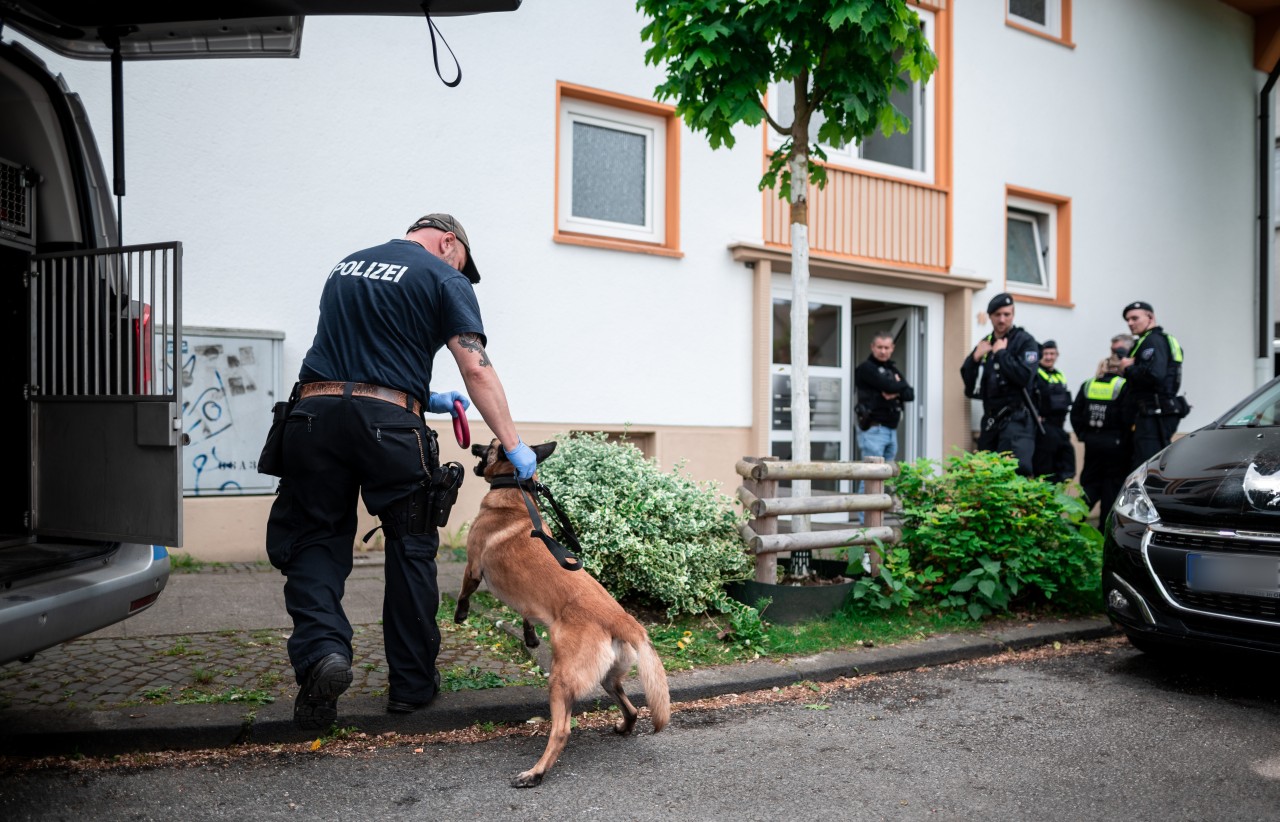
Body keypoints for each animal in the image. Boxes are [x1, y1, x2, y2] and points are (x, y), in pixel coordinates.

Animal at [453, 437, 670, 783]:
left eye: (491, 445)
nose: (472, 443)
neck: (515, 493)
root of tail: (622, 619)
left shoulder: (473, 567)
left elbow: (464, 592)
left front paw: (460, 615)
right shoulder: (527, 600)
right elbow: (526, 616)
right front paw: (530, 638)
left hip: (560, 681)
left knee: (562, 731)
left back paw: (535, 773)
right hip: (607, 678)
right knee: (633, 708)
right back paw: (624, 727)